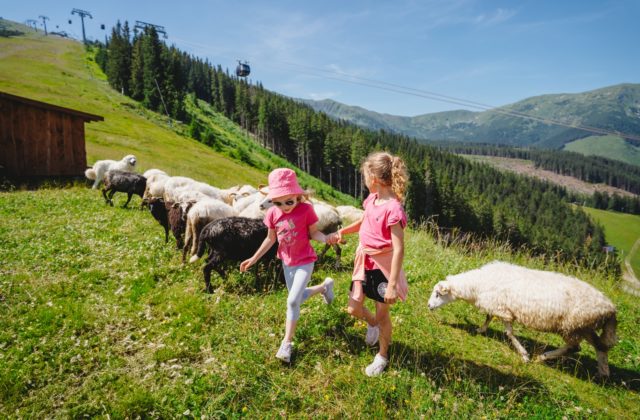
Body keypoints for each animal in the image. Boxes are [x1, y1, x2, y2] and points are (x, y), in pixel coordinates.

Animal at [428, 260, 616, 378]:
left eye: (438, 294)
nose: (428, 306)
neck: (476, 286)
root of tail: (610, 308)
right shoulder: (496, 305)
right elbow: (488, 317)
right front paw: (481, 329)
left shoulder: (503, 309)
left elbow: (509, 333)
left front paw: (524, 355)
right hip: (585, 326)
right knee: (600, 346)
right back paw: (603, 373)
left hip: (573, 326)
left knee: (575, 347)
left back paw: (544, 357)